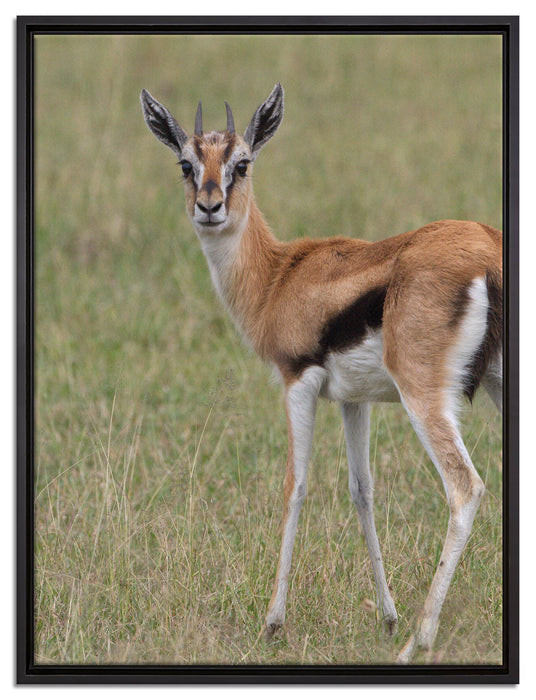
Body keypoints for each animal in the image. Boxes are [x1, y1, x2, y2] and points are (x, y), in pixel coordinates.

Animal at [140, 84, 503, 663]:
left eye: (242, 163)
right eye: (186, 164)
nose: (209, 207)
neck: (278, 277)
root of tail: (487, 251)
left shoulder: (298, 383)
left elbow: (296, 484)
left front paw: (273, 623)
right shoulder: (354, 401)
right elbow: (363, 490)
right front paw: (386, 617)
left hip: (424, 396)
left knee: (464, 488)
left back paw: (419, 641)